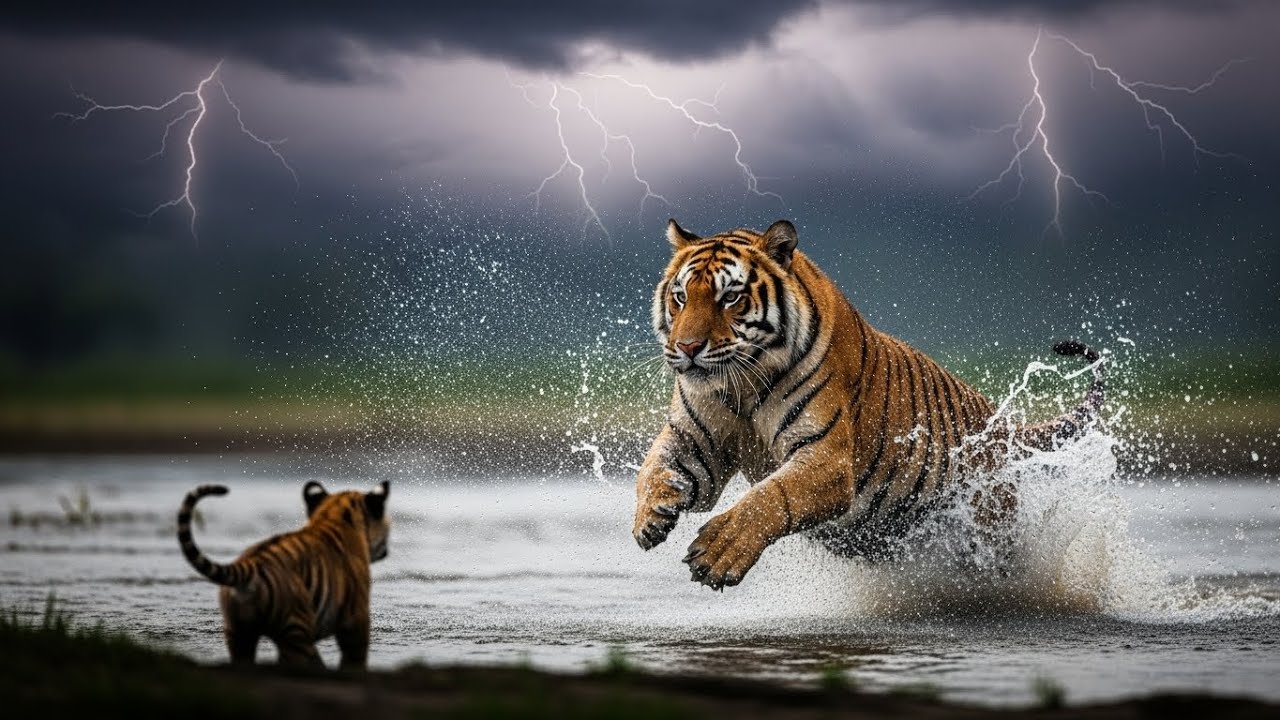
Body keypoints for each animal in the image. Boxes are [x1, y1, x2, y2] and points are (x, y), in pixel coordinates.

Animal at [633, 219, 1105, 590]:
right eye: (680, 296)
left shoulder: (826, 457)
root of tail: (1000, 424)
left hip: (992, 529)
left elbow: (770, 497)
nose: (687, 347)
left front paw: (720, 552)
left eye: (729, 297)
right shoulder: (696, 442)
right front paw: (649, 517)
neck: (742, 384)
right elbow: (654, 466)